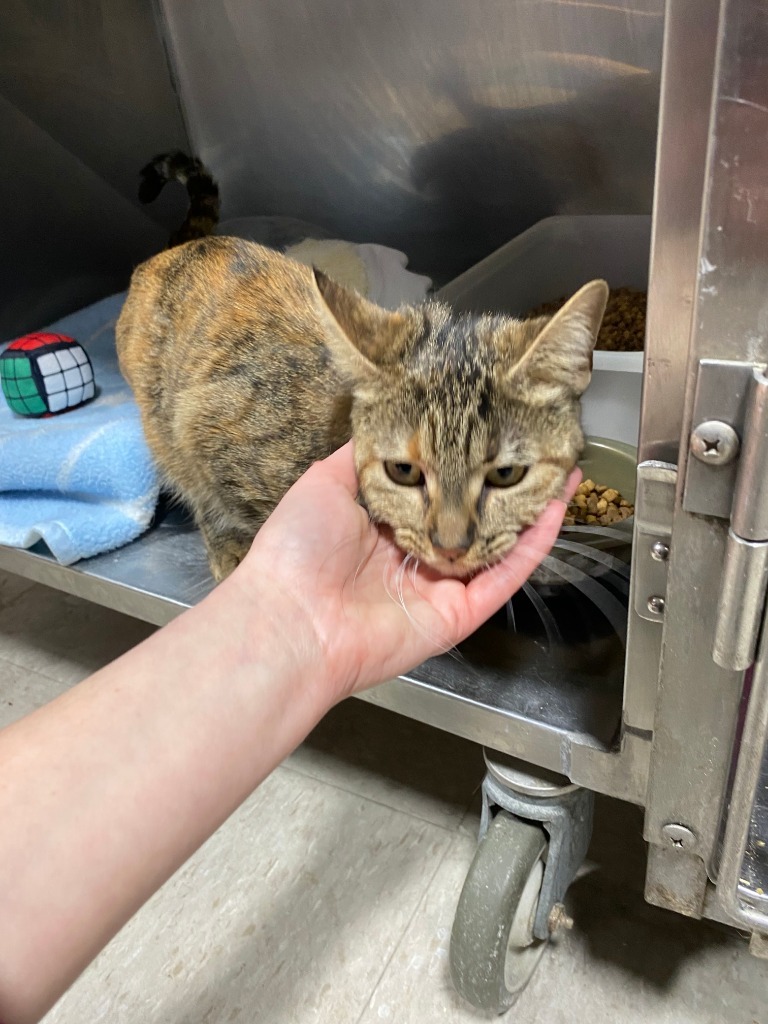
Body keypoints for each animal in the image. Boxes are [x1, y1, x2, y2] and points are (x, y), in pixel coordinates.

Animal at [117, 156, 606, 585]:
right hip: (163, 422)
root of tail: (184, 247)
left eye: (506, 475)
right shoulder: (206, 426)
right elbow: (216, 499)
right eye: (403, 471)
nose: (450, 547)